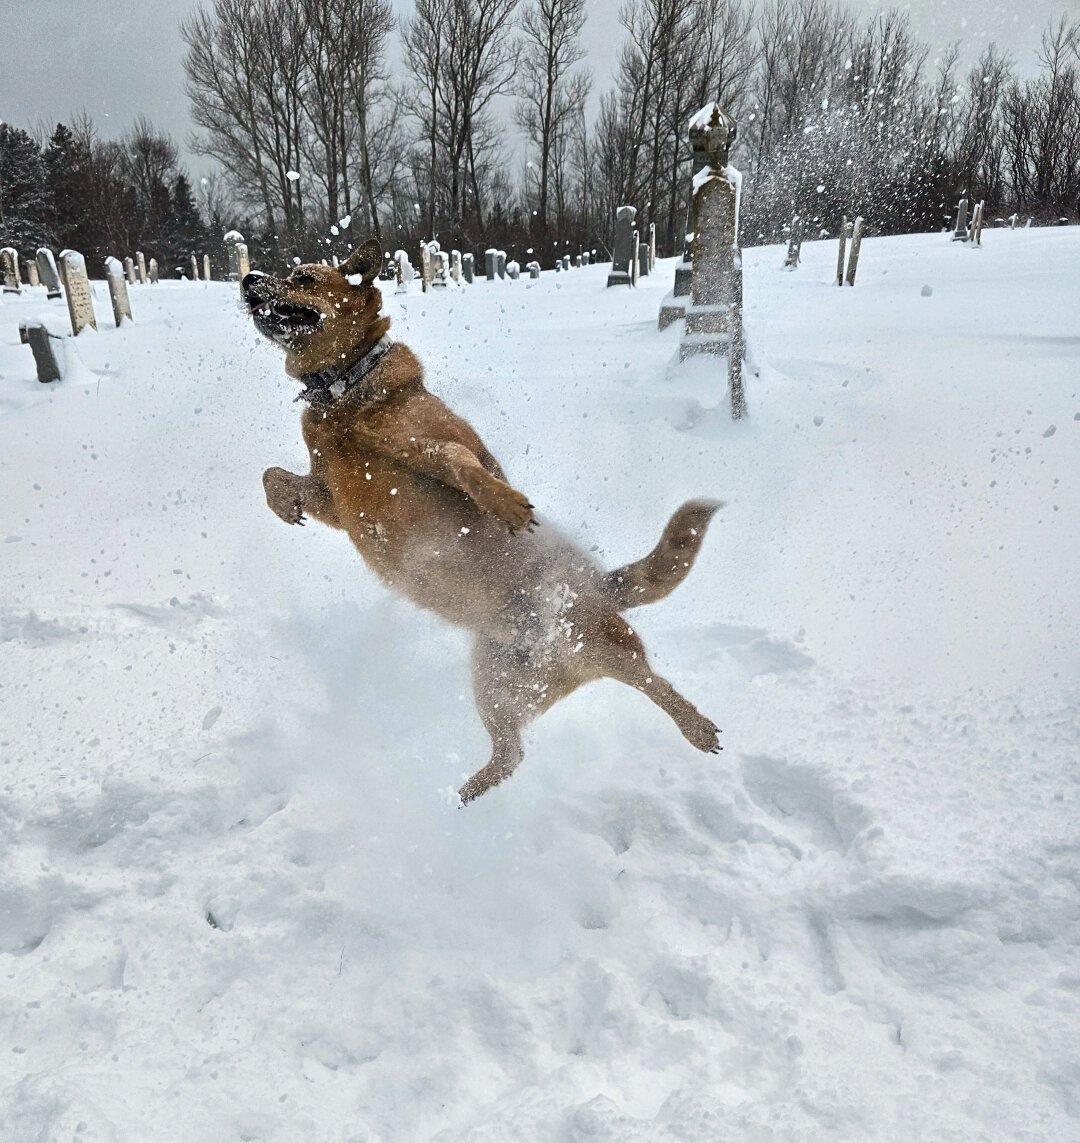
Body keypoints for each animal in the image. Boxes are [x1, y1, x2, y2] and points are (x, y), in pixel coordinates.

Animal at [240, 235, 722, 800]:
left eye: (304, 277)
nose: (248, 279)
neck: (342, 394)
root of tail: (601, 586)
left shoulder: (429, 444)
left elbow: (458, 461)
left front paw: (506, 504)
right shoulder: (334, 498)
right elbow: (274, 475)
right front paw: (283, 504)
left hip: (601, 644)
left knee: (653, 682)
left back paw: (697, 727)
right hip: (493, 685)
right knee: (512, 754)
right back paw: (467, 792)